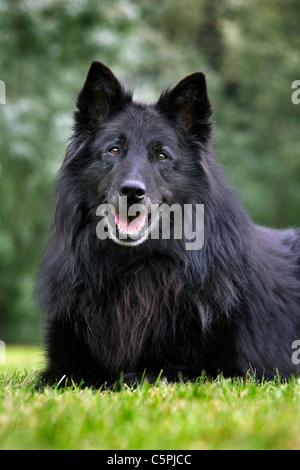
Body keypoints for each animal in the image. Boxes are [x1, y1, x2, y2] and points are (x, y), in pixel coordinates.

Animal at [36, 61, 300, 386]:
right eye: (114, 150)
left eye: (161, 155)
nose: (132, 192)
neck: (136, 268)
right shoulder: (60, 366)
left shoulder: (227, 372)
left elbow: (137, 376)